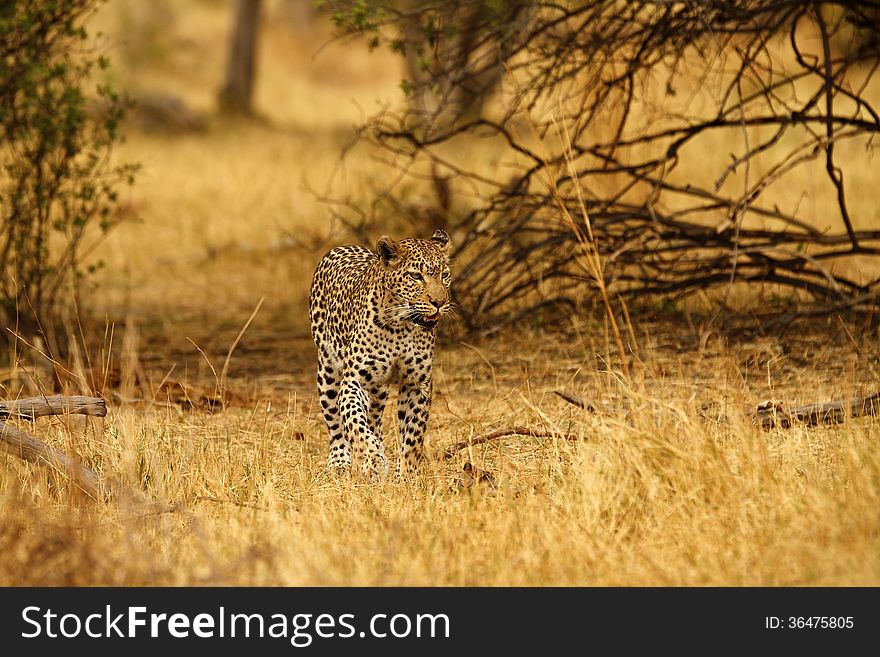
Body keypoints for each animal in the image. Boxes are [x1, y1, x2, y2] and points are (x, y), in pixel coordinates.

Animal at [310, 228, 454, 480]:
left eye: (444, 275)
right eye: (416, 276)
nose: (439, 302)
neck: (401, 325)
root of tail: (341, 247)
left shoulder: (417, 384)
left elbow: (413, 434)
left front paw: (406, 474)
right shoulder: (354, 381)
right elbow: (355, 423)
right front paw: (373, 459)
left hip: (378, 390)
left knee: (374, 419)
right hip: (327, 373)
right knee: (337, 427)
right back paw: (340, 463)